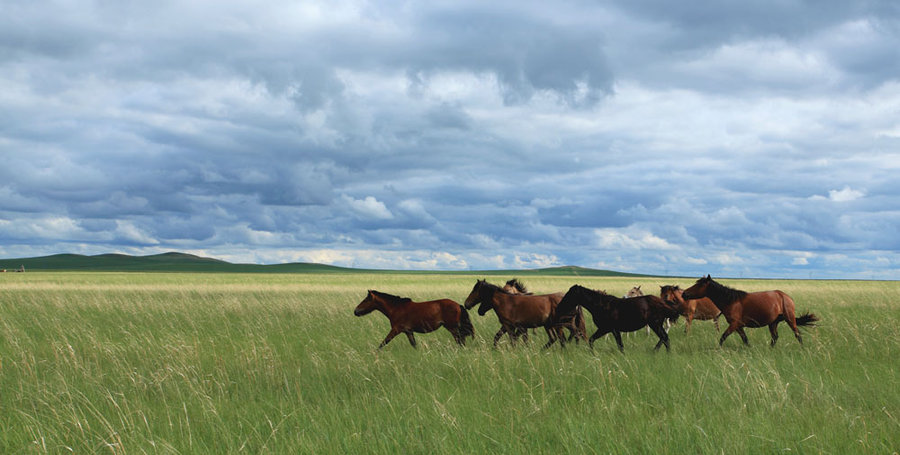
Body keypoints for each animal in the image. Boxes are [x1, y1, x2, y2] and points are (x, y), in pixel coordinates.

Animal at [552, 284, 680, 352]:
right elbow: (595, 340)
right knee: (665, 338)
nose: (559, 306)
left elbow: (618, 345)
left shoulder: (608, 329)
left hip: (655, 324)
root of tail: (662, 301)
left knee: (665, 338)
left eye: (570, 294)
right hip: (657, 324)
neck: (601, 305)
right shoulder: (610, 330)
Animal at [684, 276, 820, 348]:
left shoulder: (734, 324)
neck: (731, 301)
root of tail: (785, 296)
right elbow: (745, 340)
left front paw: (718, 349)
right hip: (773, 323)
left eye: (699, 285)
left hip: (789, 319)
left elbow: (723, 337)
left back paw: (802, 349)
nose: (684, 293)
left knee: (797, 334)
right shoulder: (738, 326)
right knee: (775, 337)